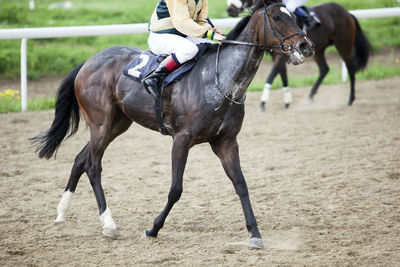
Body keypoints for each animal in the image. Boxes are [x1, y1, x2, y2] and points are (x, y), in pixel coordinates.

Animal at [31, 0, 312, 249]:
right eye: (277, 17)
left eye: (294, 16)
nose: (306, 45)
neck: (219, 80)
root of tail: (88, 62)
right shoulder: (182, 139)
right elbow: (176, 189)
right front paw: (153, 229)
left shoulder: (226, 142)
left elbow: (241, 185)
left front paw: (255, 233)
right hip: (101, 123)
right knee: (92, 165)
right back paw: (108, 224)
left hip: (116, 125)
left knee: (81, 159)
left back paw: (61, 213)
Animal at [227, 0, 370, 110]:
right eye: (277, 17)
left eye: (293, 17)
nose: (230, 9)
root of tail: (348, 13)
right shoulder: (279, 54)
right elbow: (282, 74)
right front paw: (287, 101)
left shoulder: (282, 55)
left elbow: (272, 75)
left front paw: (263, 102)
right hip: (318, 50)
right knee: (324, 69)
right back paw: (311, 96)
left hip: (343, 45)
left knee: (350, 69)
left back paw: (351, 99)